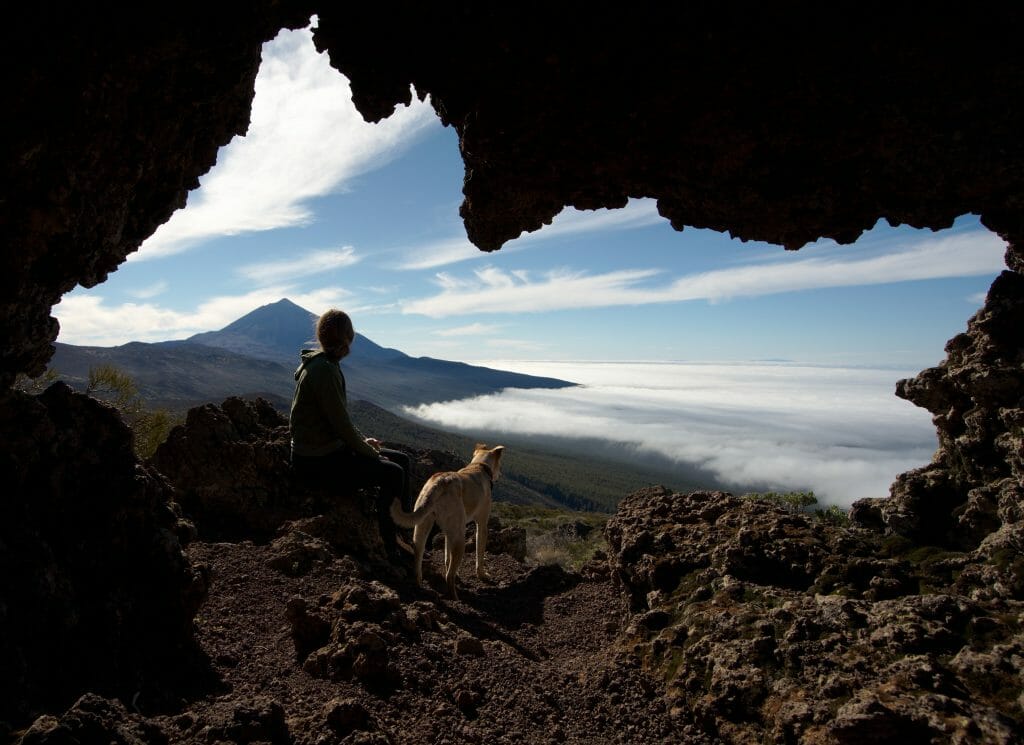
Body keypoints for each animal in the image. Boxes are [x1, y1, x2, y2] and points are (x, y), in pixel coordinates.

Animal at [387, 442, 503, 597]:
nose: (500, 475)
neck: (479, 465)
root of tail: (440, 482)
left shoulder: (448, 533)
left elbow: (447, 557)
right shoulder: (482, 525)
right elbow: (479, 555)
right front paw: (482, 575)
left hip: (423, 525)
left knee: (418, 555)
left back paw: (418, 583)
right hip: (460, 537)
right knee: (449, 577)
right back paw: (454, 596)